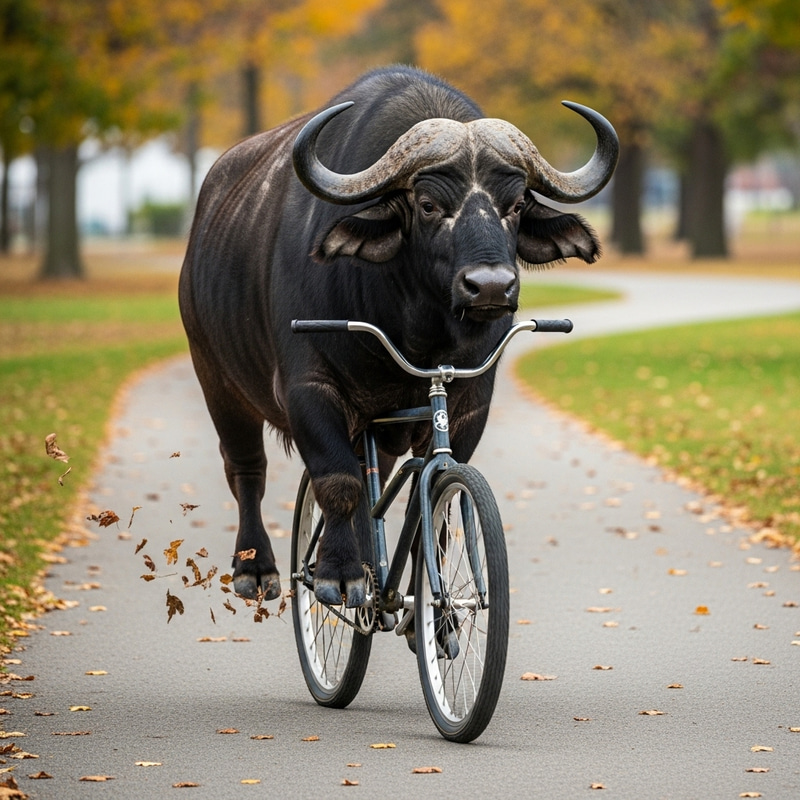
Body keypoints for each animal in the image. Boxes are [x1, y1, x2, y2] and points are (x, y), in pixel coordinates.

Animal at [179, 66, 618, 606]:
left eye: (515, 205)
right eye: (427, 204)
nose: (491, 286)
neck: (415, 333)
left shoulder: (470, 399)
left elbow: (434, 510)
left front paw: (429, 601)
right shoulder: (307, 389)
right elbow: (338, 481)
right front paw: (338, 573)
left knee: (378, 481)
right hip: (216, 379)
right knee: (247, 469)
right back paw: (257, 567)